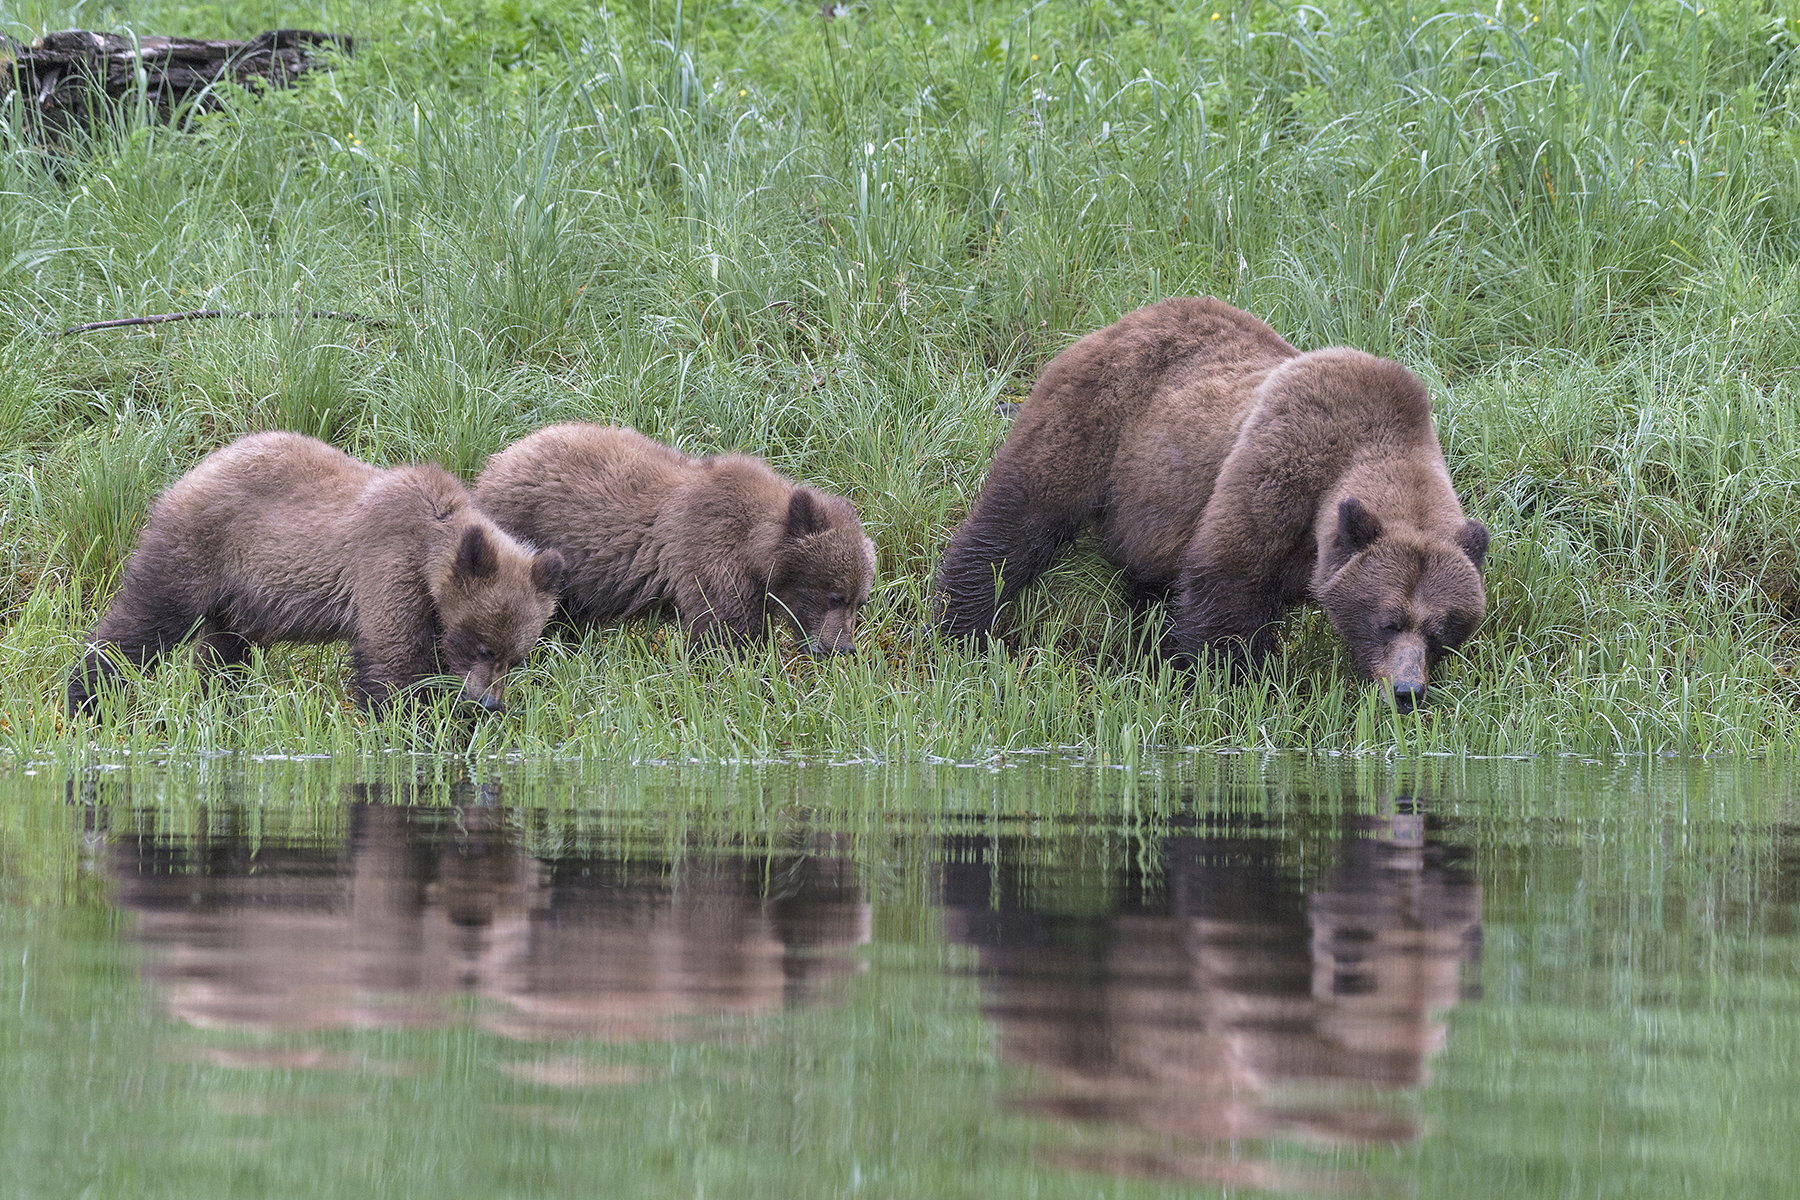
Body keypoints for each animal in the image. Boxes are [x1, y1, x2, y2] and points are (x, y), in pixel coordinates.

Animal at [66, 429, 565, 712]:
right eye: (484, 646)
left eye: (517, 658)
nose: (489, 703)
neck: (434, 544)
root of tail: (203, 462)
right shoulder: (388, 564)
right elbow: (393, 662)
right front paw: (403, 724)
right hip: (200, 547)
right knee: (149, 618)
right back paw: (86, 694)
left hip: (243, 594)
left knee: (223, 651)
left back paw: (219, 703)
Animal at [475, 424, 874, 658]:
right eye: (835, 596)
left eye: (860, 600)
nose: (844, 648)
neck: (754, 549)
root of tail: (500, 458)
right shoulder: (709, 552)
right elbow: (724, 631)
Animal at [936, 300, 1483, 712]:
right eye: (1387, 619)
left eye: (1441, 630)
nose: (1408, 690)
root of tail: (1122, 321)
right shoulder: (1278, 470)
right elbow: (1227, 583)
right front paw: (1225, 687)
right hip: (1093, 420)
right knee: (1017, 521)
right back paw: (959, 628)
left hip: (1153, 503)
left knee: (1151, 591)